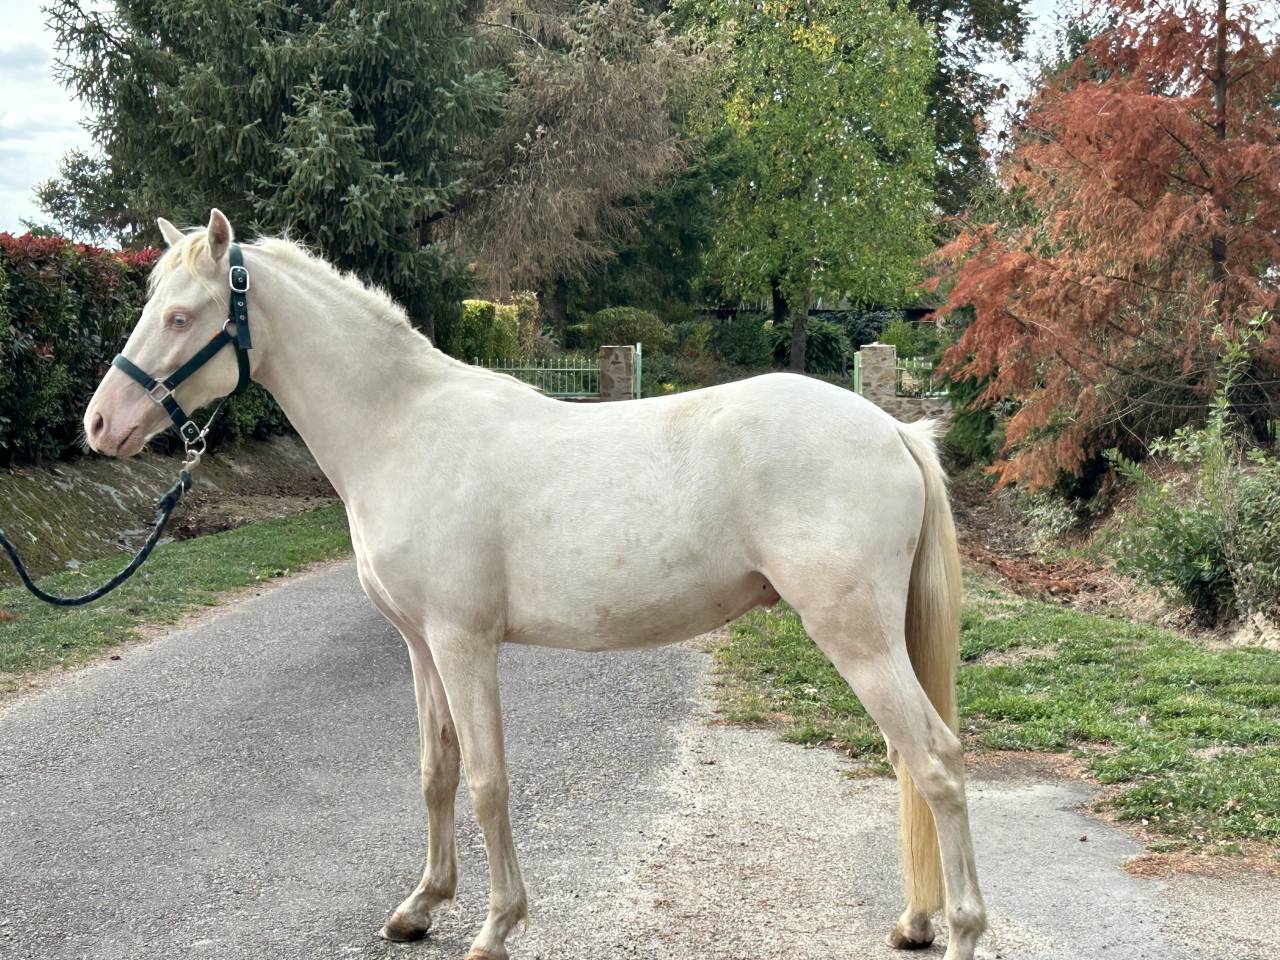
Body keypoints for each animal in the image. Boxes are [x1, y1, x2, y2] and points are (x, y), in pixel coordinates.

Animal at [84, 210, 987, 960]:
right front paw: (421, 907)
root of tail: (895, 430)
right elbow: (436, 771)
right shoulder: (420, 646)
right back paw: (914, 921)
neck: (404, 428)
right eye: (153, 305)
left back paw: (961, 931)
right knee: (910, 762)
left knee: (936, 761)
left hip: (856, 637)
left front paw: (494, 926)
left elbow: (488, 781)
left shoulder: (463, 642)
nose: (100, 424)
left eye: (181, 316)